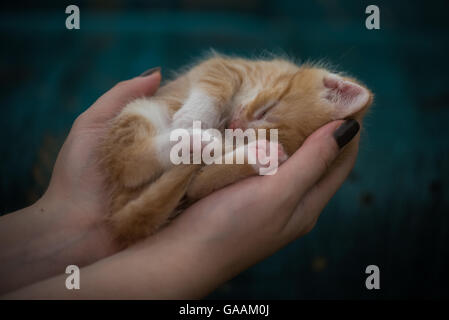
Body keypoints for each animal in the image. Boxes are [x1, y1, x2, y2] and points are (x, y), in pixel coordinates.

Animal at [100, 55, 372, 245]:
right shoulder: (226, 66)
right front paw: (193, 116)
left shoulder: (196, 186)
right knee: (128, 162)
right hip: (139, 108)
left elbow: (201, 182)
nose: (232, 126)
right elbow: (216, 83)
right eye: (265, 110)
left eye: (244, 136)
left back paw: (242, 151)